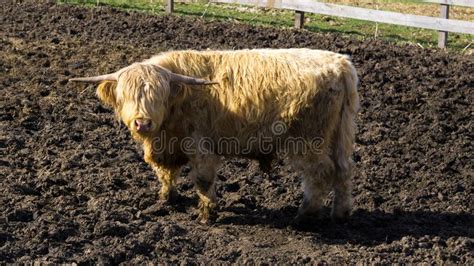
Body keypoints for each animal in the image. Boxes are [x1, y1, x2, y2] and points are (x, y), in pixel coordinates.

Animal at [70, 48, 360, 223]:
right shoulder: (168, 145)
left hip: (308, 139)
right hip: (340, 135)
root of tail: (340, 63)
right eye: (127, 95)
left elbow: (203, 180)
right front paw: (166, 199)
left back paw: (303, 216)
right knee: (344, 171)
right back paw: (341, 213)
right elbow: (166, 173)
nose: (142, 122)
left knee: (319, 173)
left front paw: (207, 214)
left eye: (157, 96)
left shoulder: (201, 145)